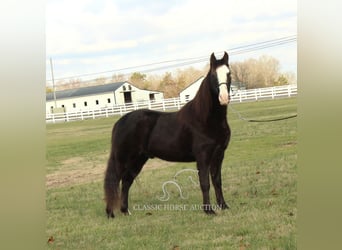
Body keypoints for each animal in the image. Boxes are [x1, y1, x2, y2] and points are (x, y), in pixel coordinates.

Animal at [104, 51, 232, 218]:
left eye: (229, 74)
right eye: (213, 75)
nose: (224, 98)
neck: (205, 119)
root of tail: (121, 121)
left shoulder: (219, 154)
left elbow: (217, 181)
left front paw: (223, 206)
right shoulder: (203, 157)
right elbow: (205, 183)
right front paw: (208, 210)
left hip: (138, 160)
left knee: (126, 182)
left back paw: (125, 211)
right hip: (123, 159)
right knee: (114, 180)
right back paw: (110, 213)